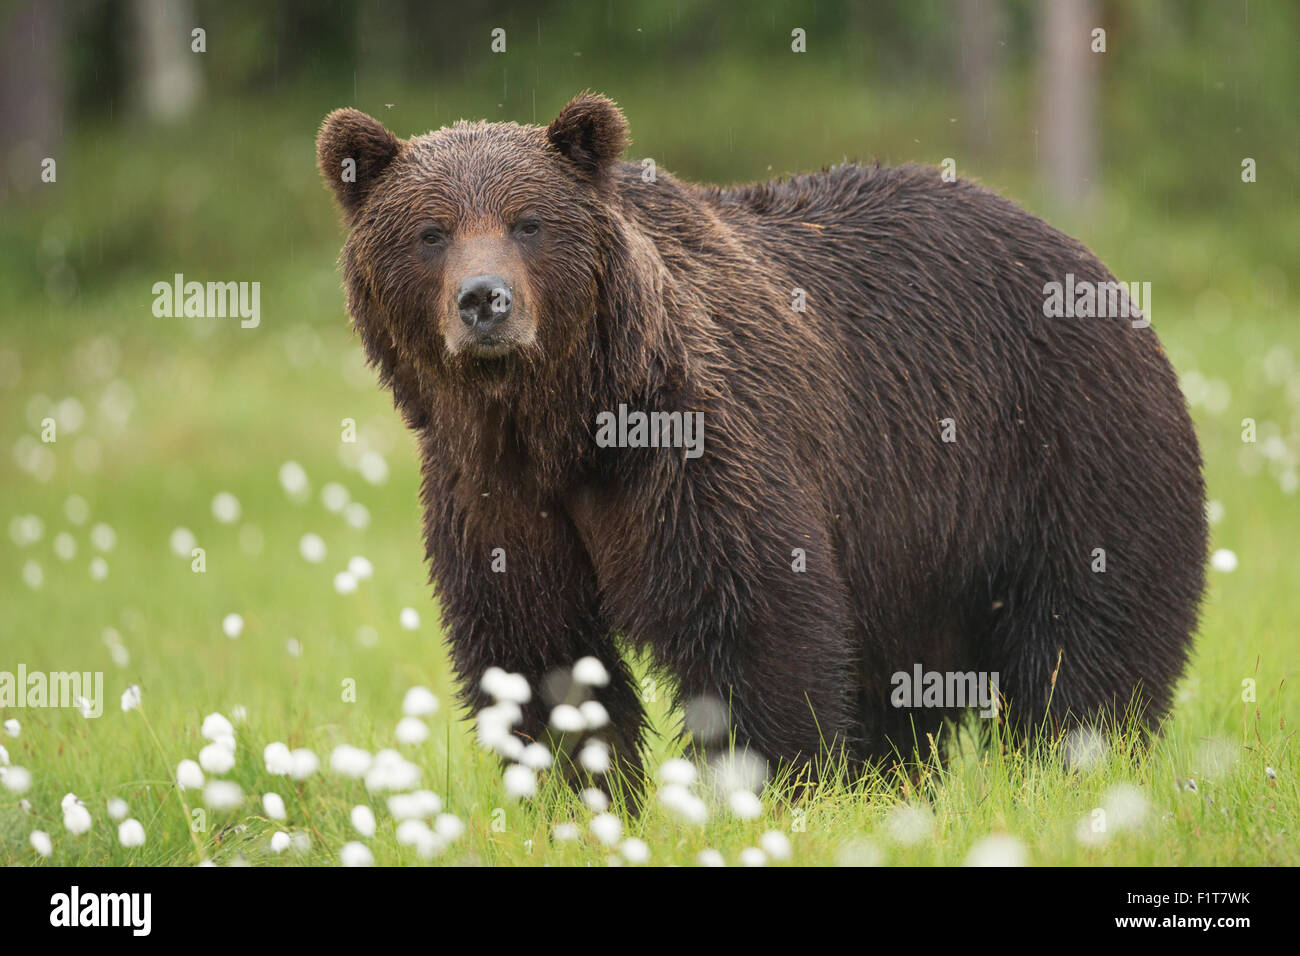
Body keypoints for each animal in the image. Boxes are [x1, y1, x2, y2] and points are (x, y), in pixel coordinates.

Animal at [316, 93, 1206, 790]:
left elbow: (753, 619)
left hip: (1067, 445)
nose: (485, 301)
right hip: (919, 549)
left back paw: (1073, 764)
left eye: (528, 222)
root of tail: (1092, 264)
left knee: (1086, 641)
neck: (560, 423)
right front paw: (580, 796)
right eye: (431, 231)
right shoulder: (492, 493)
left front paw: (769, 786)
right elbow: (534, 650)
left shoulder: (690, 446)